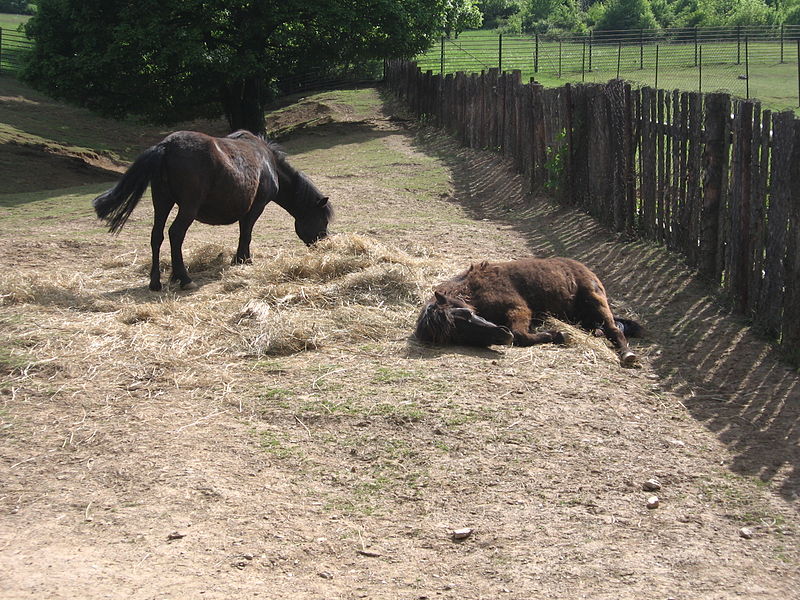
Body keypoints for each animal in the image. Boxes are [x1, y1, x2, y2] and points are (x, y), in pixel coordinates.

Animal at [94, 130, 332, 292]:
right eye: (323, 220)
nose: (323, 243)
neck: (267, 162)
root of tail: (166, 145)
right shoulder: (256, 207)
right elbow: (246, 233)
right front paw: (243, 259)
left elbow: (244, 233)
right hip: (187, 207)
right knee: (175, 234)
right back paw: (184, 278)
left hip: (162, 203)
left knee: (157, 236)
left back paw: (156, 282)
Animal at [416, 256, 640, 366]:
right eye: (459, 335)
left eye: (468, 314)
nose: (502, 334)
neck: (474, 288)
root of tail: (585, 269)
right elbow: (521, 336)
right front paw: (557, 334)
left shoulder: (519, 309)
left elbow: (520, 335)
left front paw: (559, 334)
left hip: (596, 303)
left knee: (614, 330)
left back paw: (627, 354)